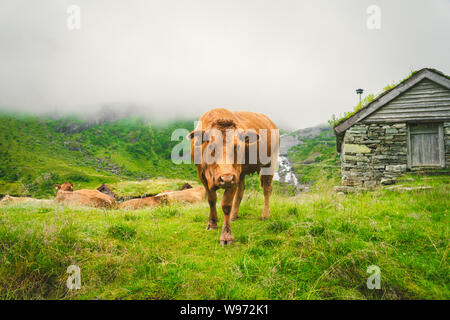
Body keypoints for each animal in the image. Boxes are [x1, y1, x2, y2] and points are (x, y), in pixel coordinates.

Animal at [186, 107, 278, 245]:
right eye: (211, 146)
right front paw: (212, 224)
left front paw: (226, 236)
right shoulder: (202, 175)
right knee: (241, 191)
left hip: (269, 162)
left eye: (237, 146)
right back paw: (234, 216)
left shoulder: (234, 176)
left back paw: (265, 215)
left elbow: (226, 205)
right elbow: (211, 199)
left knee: (267, 188)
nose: (226, 178)